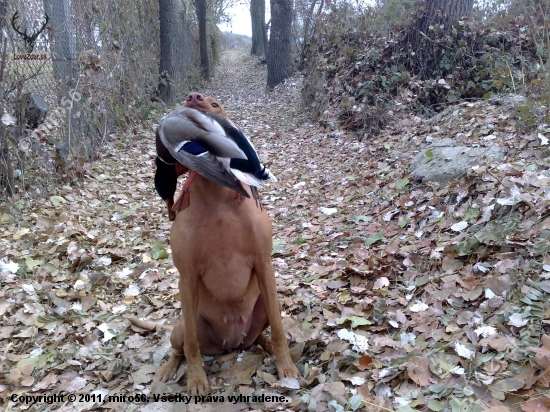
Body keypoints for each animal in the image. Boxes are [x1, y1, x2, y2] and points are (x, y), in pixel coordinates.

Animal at [154, 93, 302, 396]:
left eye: (215, 103)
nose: (194, 97)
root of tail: (231, 345)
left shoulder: (264, 264)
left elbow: (279, 329)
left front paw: (286, 366)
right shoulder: (186, 277)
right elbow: (191, 345)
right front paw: (197, 381)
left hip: (266, 306)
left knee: (262, 336)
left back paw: (271, 349)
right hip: (182, 324)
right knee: (181, 348)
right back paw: (167, 370)